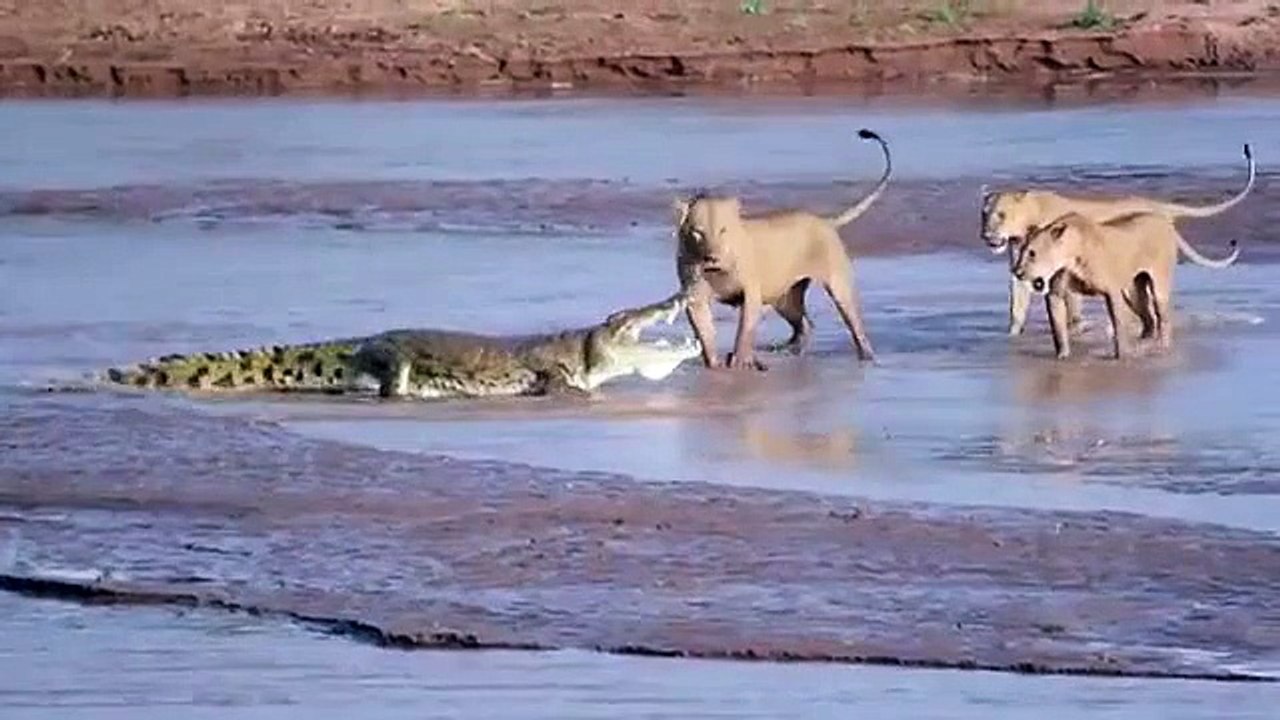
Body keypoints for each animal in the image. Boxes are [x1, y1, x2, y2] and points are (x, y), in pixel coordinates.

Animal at [672, 128, 892, 371]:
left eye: (723, 230)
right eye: (698, 232)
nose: (712, 257)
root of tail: (824, 221)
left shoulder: (751, 293)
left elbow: (744, 331)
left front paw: (740, 361)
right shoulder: (695, 298)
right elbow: (705, 334)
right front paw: (715, 365)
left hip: (838, 286)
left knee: (855, 326)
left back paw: (867, 357)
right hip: (784, 297)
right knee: (805, 324)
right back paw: (791, 350)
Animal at [983, 143, 1254, 337]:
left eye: (1001, 214)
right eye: (984, 214)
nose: (986, 235)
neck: (1030, 220)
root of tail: (1157, 207)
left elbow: (1072, 310)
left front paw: (1074, 331)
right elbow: (1017, 307)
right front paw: (1011, 337)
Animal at [1011, 210, 1240, 360]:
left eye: (1032, 253)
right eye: (1021, 251)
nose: (1017, 272)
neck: (1070, 256)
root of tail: (1165, 222)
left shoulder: (1112, 292)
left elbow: (1119, 325)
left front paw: (1122, 356)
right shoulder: (1055, 294)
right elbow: (1058, 329)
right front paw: (1062, 356)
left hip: (1158, 285)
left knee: (1163, 318)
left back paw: (1161, 347)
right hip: (1132, 290)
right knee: (1148, 319)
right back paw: (1145, 341)